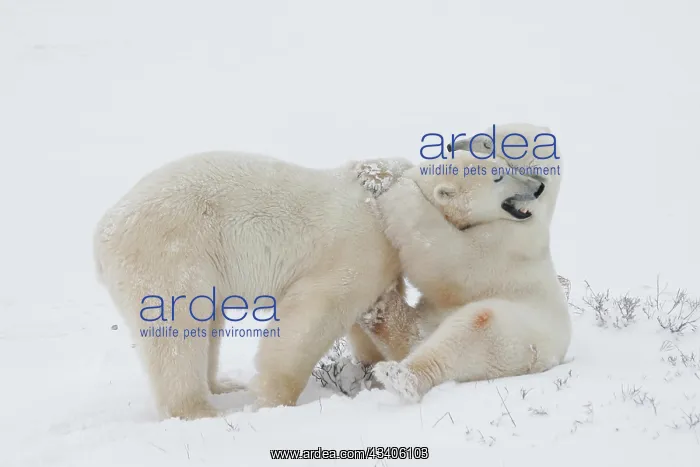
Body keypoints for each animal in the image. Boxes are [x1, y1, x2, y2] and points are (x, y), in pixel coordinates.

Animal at [93, 151, 413, 419]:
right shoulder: (357, 248)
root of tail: (103, 230)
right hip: (170, 251)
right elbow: (313, 315)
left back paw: (223, 385)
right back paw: (201, 411)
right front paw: (274, 400)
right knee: (177, 332)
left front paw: (374, 369)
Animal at [356, 124, 571, 402]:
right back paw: (379, 310)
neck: (535, 212)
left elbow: (446, 257)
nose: (451, 144)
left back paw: (401, 376)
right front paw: (375, 171)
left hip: (519, 338)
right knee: (417, 331)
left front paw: (394, 185)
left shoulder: (504, 245)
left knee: (473, 329)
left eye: (489, 143)